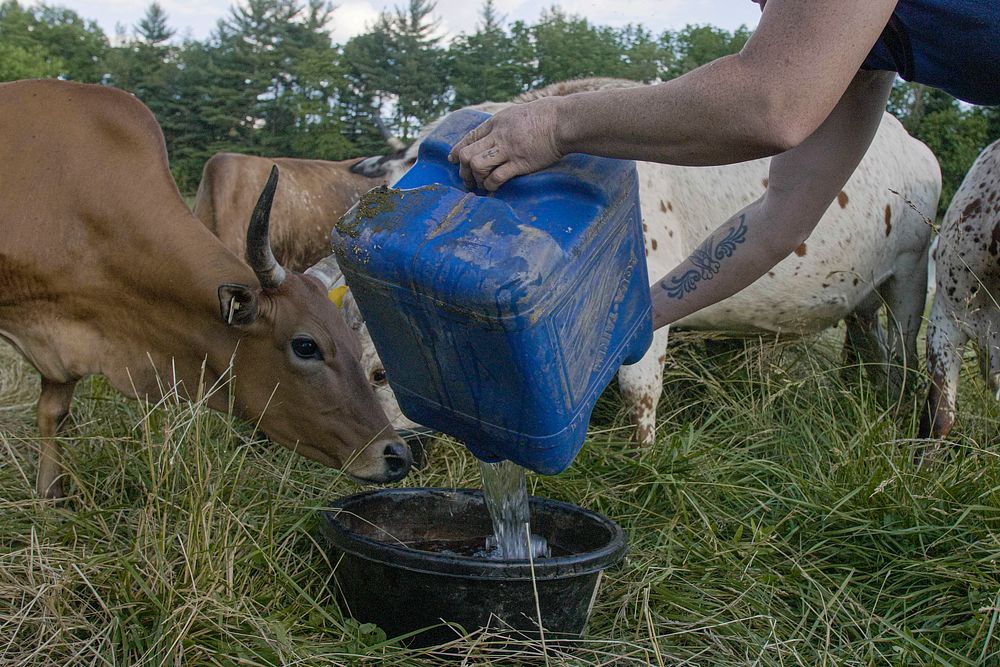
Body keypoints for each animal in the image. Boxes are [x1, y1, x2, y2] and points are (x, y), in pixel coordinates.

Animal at [348, 78, 940, 446]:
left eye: (382, 374)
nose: (380, 449)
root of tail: (913, 142)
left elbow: (639, 390)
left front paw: (643, 462)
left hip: (912, 274)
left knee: (904, 354)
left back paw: (900, 416)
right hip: (863, 296)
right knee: (867, 346)